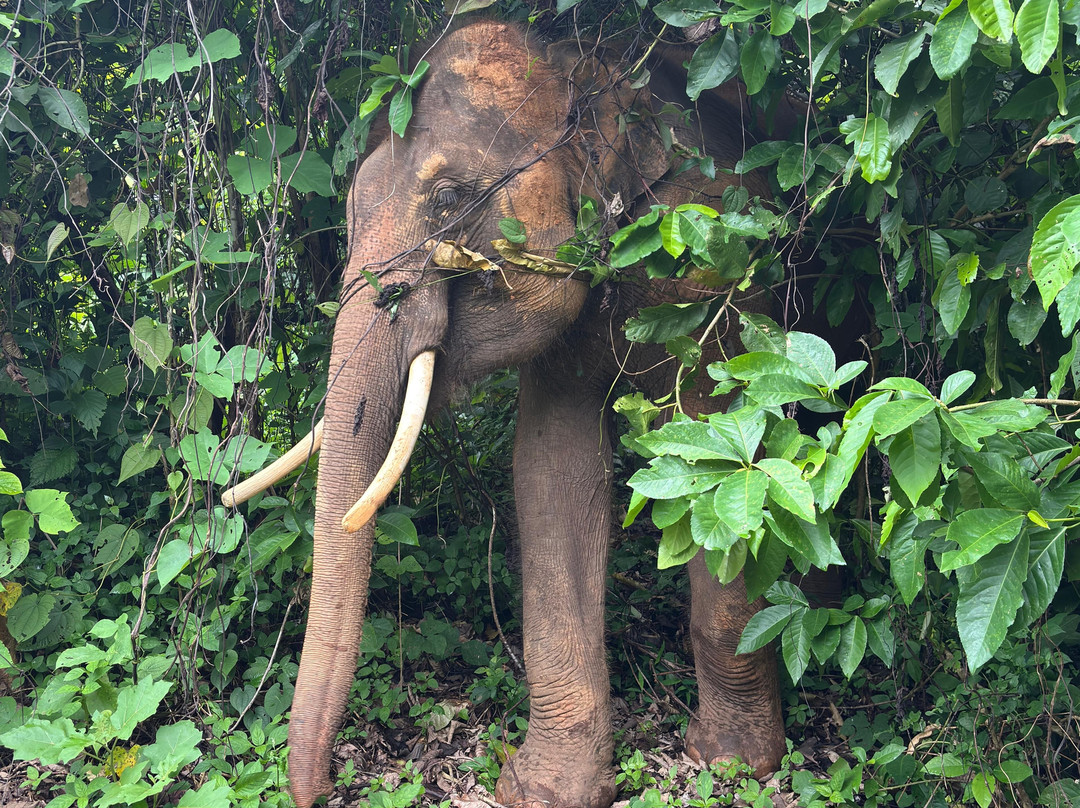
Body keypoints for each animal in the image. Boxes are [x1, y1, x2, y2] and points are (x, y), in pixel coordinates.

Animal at [223, 19, 813, 808]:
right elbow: (551, 474)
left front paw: (733, 764)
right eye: (349, 206)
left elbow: (730, 453)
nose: (316, 791)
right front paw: (545, 791)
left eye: (448, 198)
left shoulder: (719, 266)